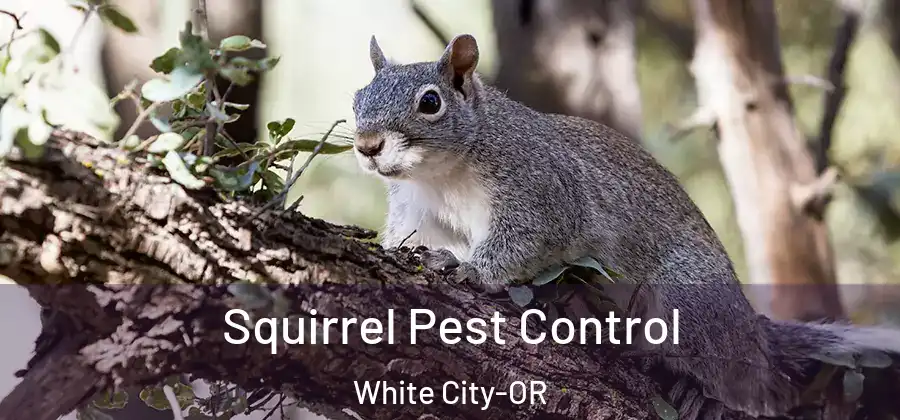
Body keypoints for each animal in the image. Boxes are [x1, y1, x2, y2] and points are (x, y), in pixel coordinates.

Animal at [351, 34, 900, 419]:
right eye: (358, 97)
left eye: (430, 102)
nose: (367, 145)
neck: (442, 173)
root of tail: (750, 330)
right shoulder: (418, 211)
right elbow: (410, 238)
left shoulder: (543, 190)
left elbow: (525, 240)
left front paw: (469, 269)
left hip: (689, 302)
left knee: (751, 385)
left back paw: (705, 393)